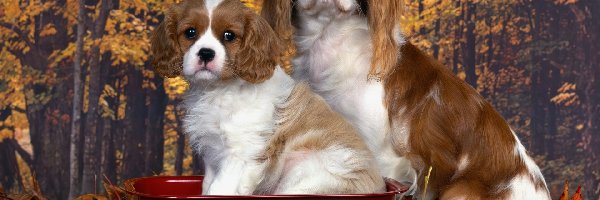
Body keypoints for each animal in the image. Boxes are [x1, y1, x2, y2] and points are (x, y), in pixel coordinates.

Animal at [150, 0, 384, 195]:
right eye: (190, 33)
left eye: (229, 36)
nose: (206, 53)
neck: (218, 90)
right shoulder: (211, 151)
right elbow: (207, 184)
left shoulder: (239, 154)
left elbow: (218, 189)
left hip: (307, 174)